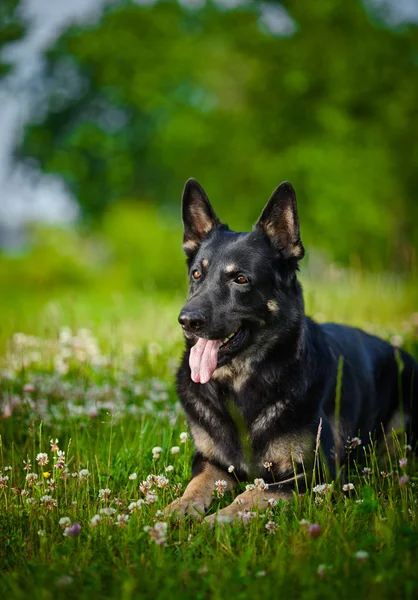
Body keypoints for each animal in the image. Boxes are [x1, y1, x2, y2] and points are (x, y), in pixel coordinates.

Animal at [165, 176, 416, 524]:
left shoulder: (317, 474)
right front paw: (179, 508)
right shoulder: (209, 461)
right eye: (197, 275)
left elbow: (253, 493)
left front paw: (219, 520)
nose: (187, 320)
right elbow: (196, 484)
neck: (240, 386)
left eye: (240, 279)